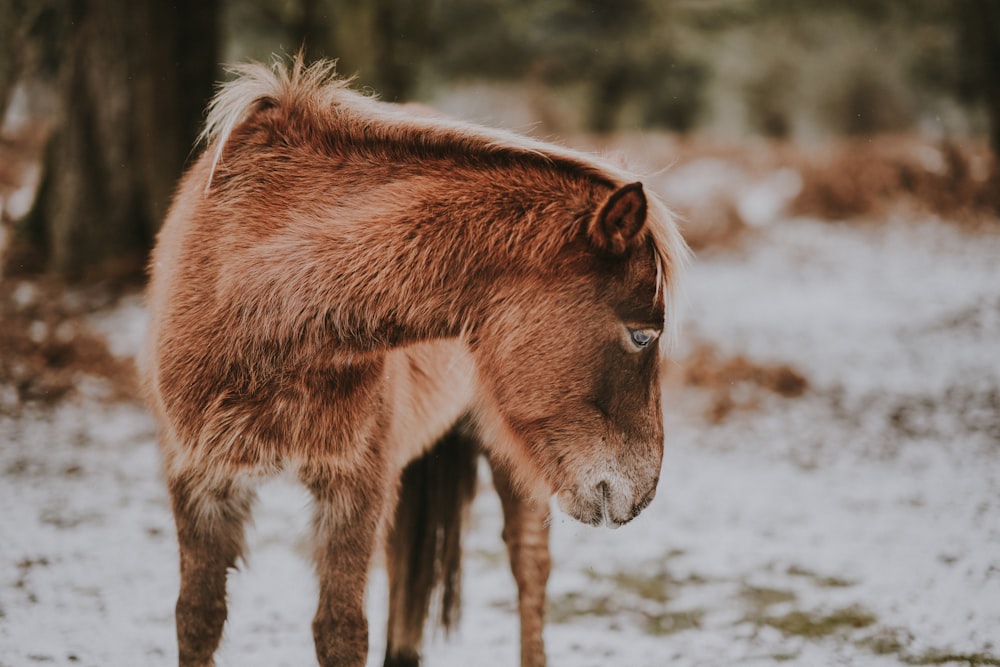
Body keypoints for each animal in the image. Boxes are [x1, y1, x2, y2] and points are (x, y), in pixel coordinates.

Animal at [143, 58, 688, 667]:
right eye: (642, 335)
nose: (642, 497)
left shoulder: (355, 490)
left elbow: (339, 630)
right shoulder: (198, 482)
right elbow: (198, 618)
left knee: (528, 567)